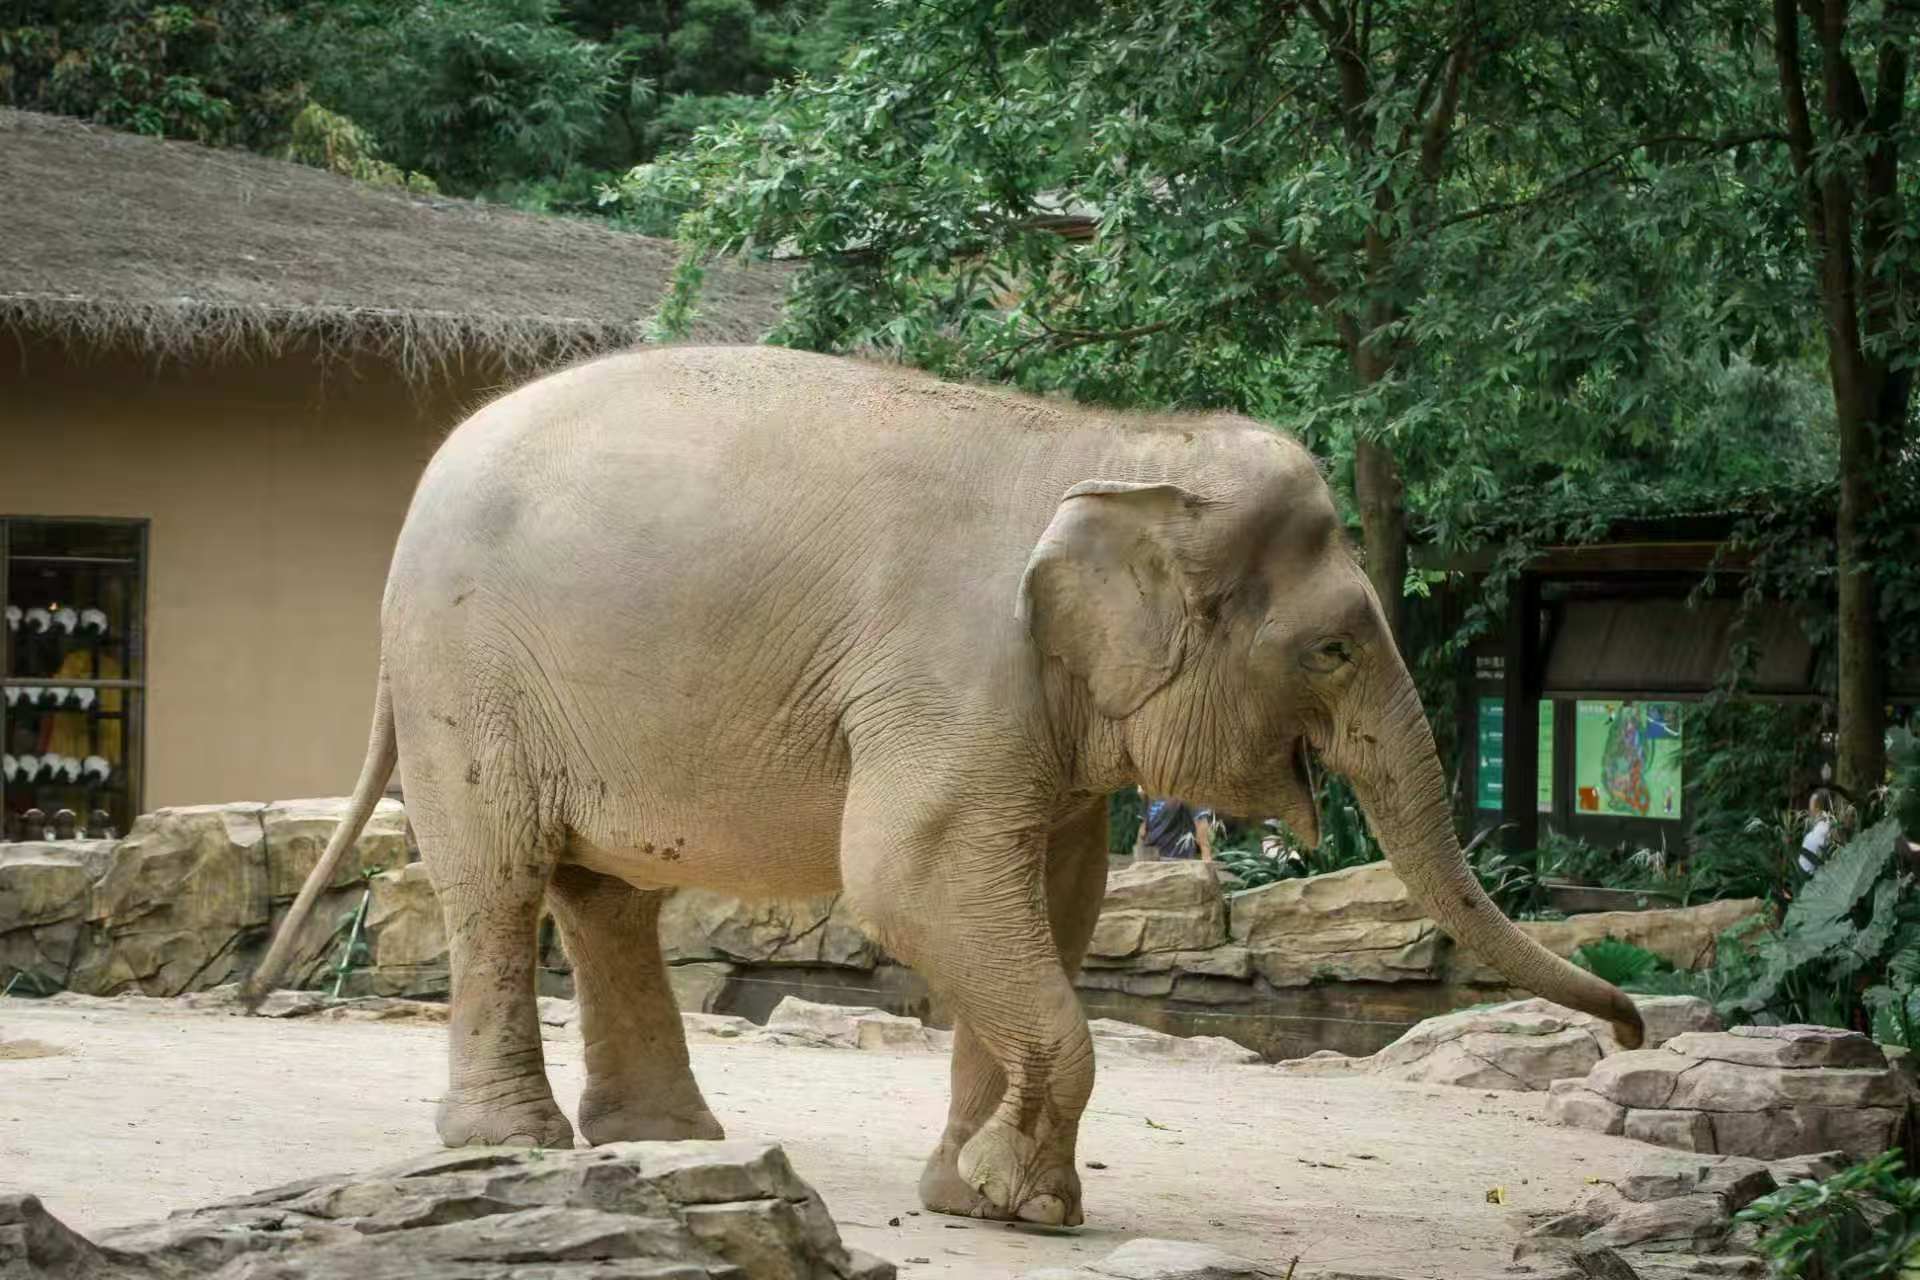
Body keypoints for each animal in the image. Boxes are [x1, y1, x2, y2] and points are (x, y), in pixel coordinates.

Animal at [248, 344, 1641, 1228]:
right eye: (1338, 646)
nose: (1632, 1027)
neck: (1111, 438)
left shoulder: (1043, 719)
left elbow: (1045, 904)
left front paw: (977, 1195)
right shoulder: (953, 674)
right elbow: (910, 879)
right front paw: (1026, 1205)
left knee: (605, 895)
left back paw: (667, 1143)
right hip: (464, 674)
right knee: (500, 876)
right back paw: (517, 1146)